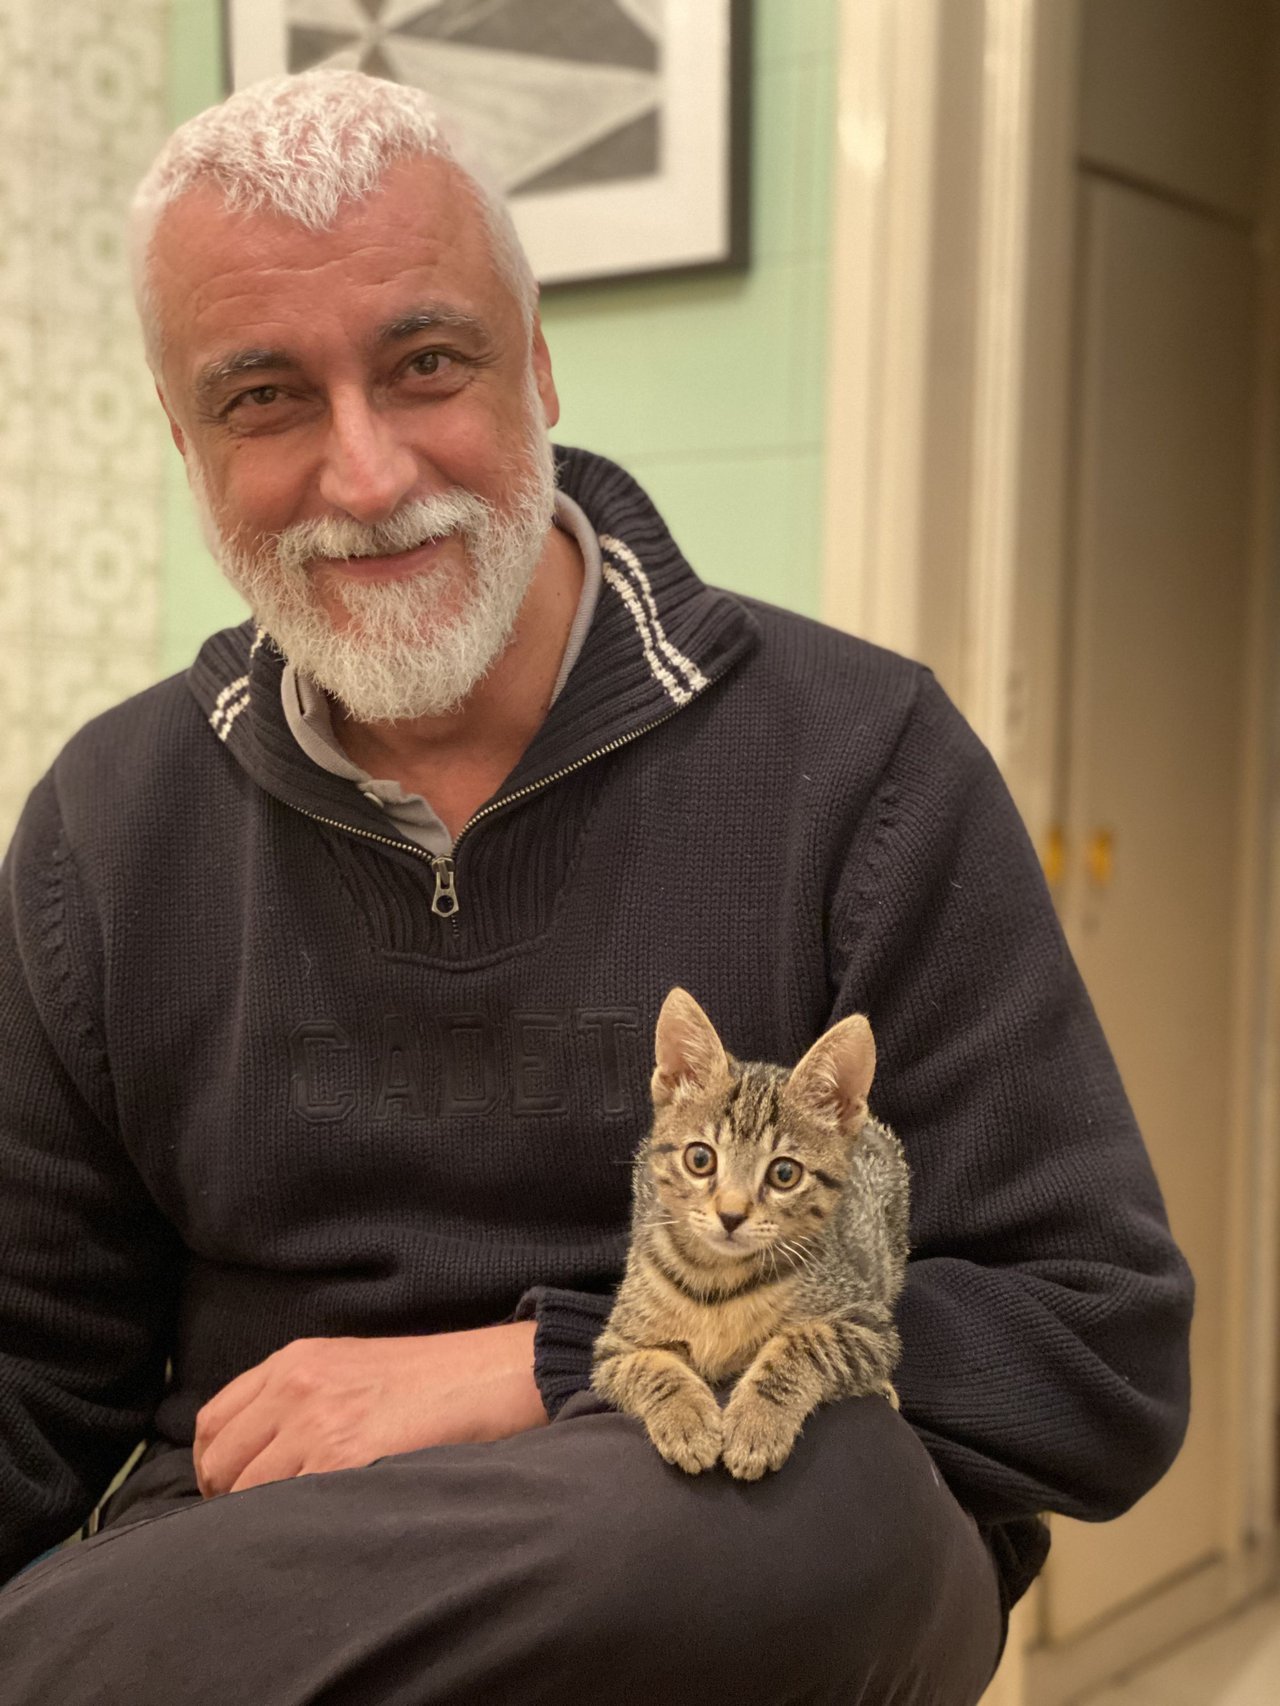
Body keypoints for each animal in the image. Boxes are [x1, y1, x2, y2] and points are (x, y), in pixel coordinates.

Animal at [592, 987, 909, 1481]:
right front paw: (688, 1418)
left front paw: (755, 1423)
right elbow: (651, 1366)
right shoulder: (616, 1348)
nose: (731, 1215)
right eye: (700, 1159)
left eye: (784, 1173)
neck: (716, 1275)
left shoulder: (867, 1323)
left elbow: (804, 1343)